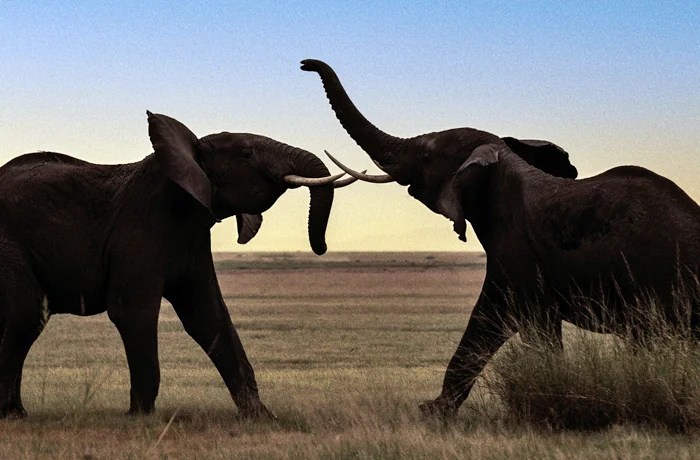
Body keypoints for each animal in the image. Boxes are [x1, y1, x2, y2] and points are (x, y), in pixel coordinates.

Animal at [0, 111, 351, 419]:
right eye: (246, 153)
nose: (321, 248)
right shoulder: (139, 227)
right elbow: (132, 311)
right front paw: (140, 417)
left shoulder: (193, 240)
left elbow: (208, 317)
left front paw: (261, 417)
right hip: (8, 242)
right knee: (26, 315)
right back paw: (12, 414)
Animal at [301, 59, 700, 418]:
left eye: (427, 154)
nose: (305, 64)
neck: (503, 162)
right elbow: (488, 320)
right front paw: (435, 411)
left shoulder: (517, 248)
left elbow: (517, 322)